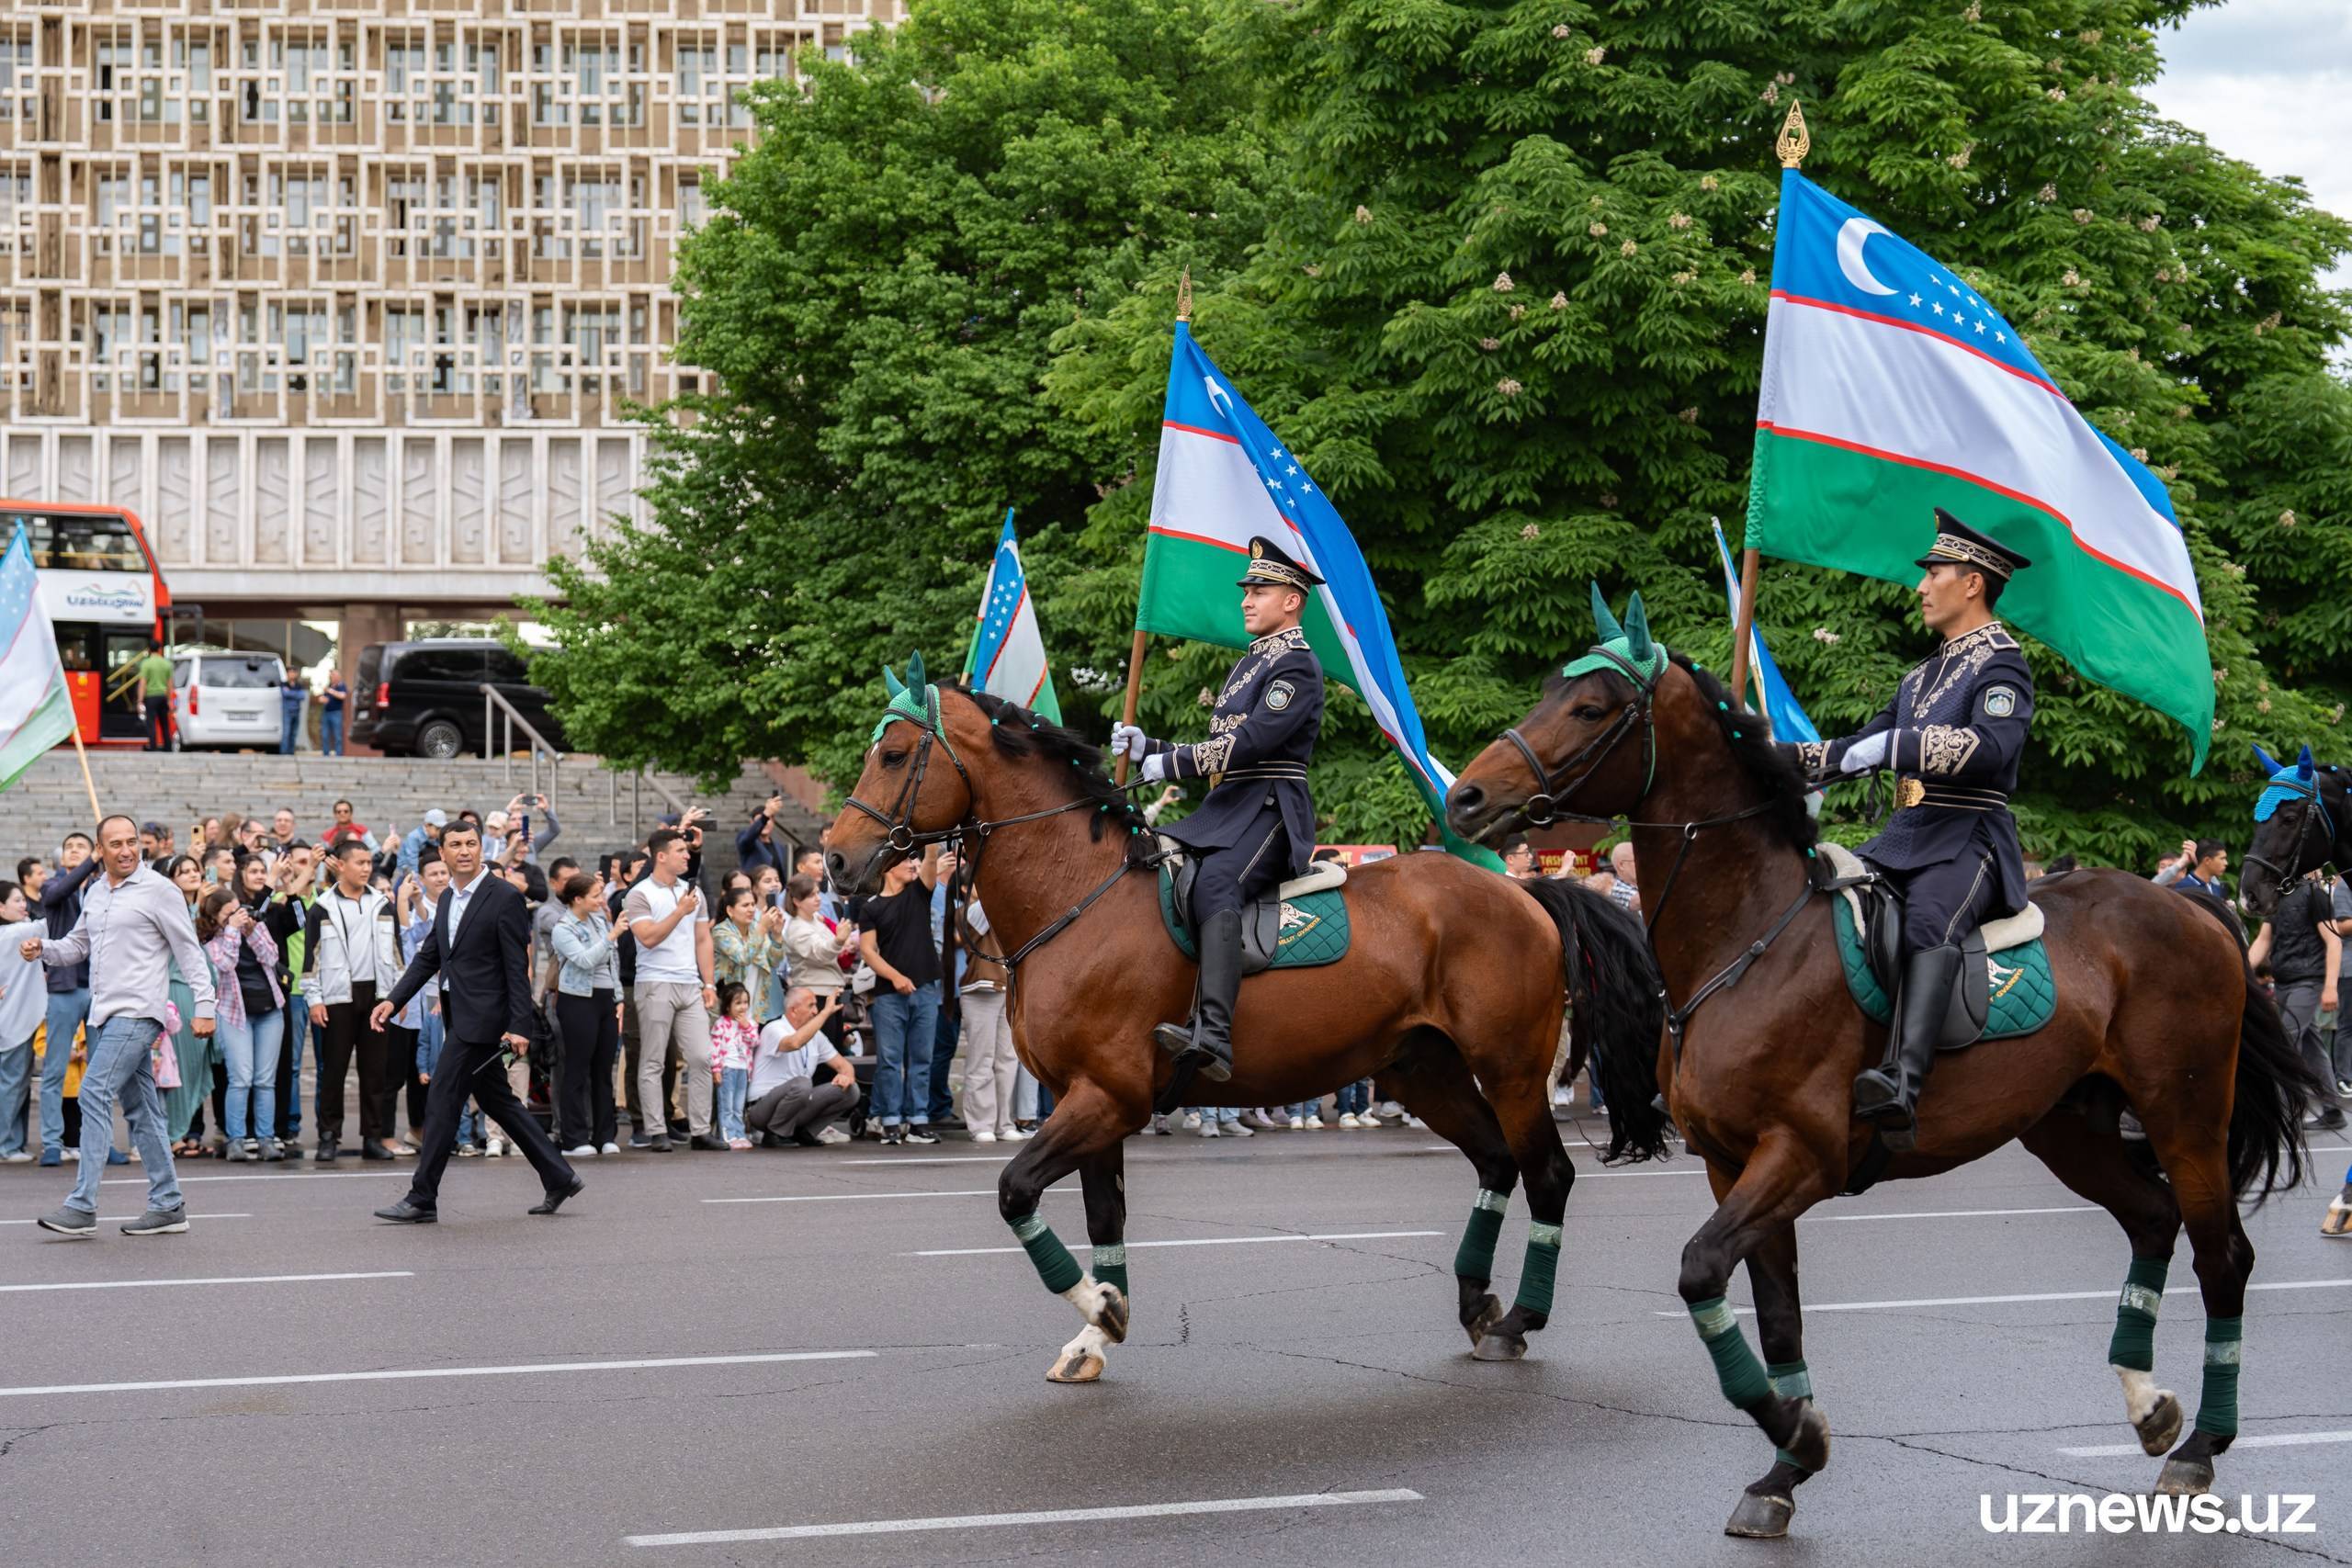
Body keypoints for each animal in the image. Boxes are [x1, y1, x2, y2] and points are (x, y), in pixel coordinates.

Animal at [823, 677, 1656, 1382]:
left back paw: (1518, 1321)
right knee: (1496, 1163)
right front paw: (1098, 1328)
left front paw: (1100, 1307)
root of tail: (1524, 892)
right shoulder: (1087, 1098)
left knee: (1547, 1174)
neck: (1078, 896)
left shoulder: (1107, 1097)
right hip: (1426, 1071)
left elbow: (1014, 1189)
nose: (835, 859)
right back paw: (1478, 1304)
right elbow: (1103, 1215)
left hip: (1510, 1069)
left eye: (893, 754)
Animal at [1448, 634, 2314, 1532]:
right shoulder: (1732, 1163)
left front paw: (1799, 1434)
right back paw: (2151, 1408)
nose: (1466, 797)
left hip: (2185, 1116)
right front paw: (1785, 1467)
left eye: (1590, 707)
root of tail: (2194, 908)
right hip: (2068, 1127)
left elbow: (1699, 1269)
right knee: (2152, 1218)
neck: (1747, 936)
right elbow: (1777, 1316)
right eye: (1549, 689)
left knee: (2222, 1256)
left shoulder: (1801, 1154)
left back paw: (2200, 1447)